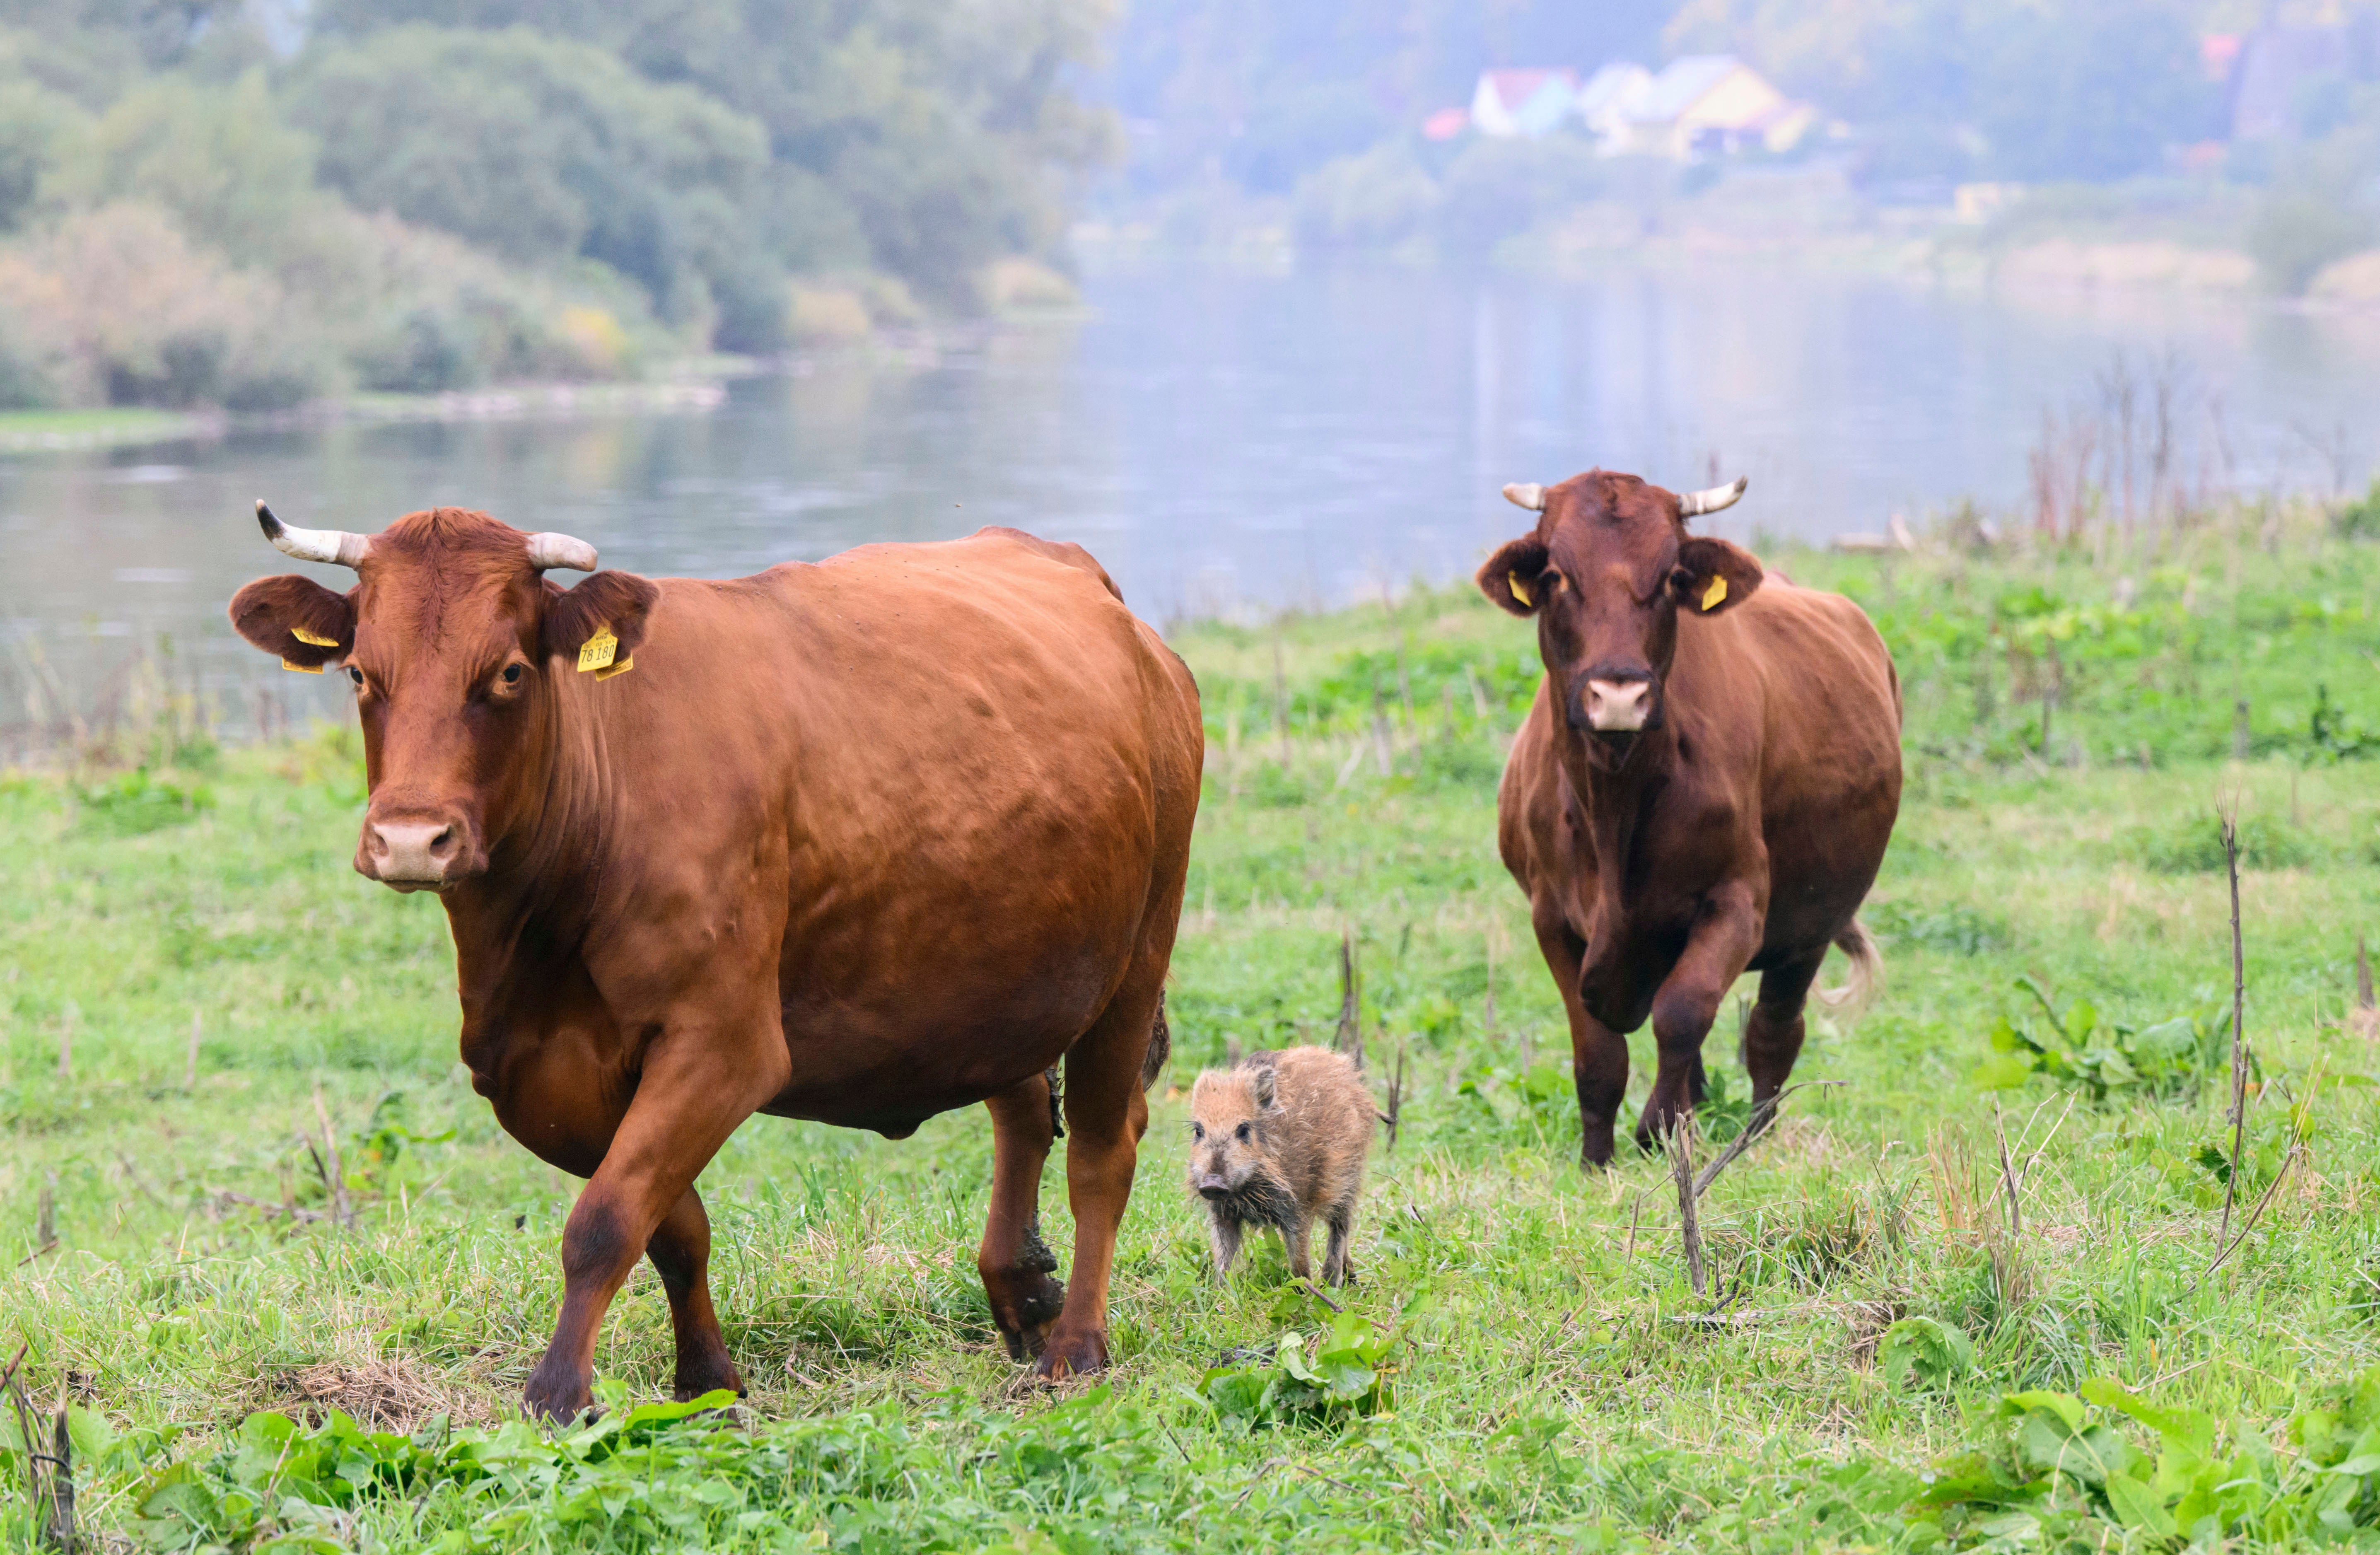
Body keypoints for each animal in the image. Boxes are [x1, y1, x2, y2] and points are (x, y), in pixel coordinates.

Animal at [1186, 1046, 1374, 1285]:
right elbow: (1223, 1260)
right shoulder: (1222, 1212)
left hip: (1348, 1181)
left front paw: (1304, 1291)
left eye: (1243, 1129)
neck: (1248, 1191)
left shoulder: (1299, 1206)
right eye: (1198, 1131)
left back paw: (1332, 1283)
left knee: (1341, 1227)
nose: (1213, 1184)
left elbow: (1300, 1263)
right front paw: (1220, 1292)